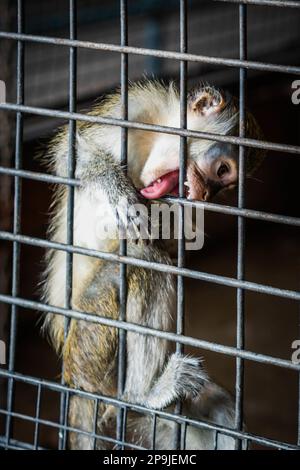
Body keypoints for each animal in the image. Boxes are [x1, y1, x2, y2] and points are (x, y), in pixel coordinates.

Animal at [41, 80, 264, 448]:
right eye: (221, 171)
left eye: (222, 186)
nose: (204, 195)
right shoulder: (137, 108)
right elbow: (70, 150)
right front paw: (115, 189)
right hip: (89, 341)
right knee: (145, 263)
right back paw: (142, 395)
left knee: (219, 415)